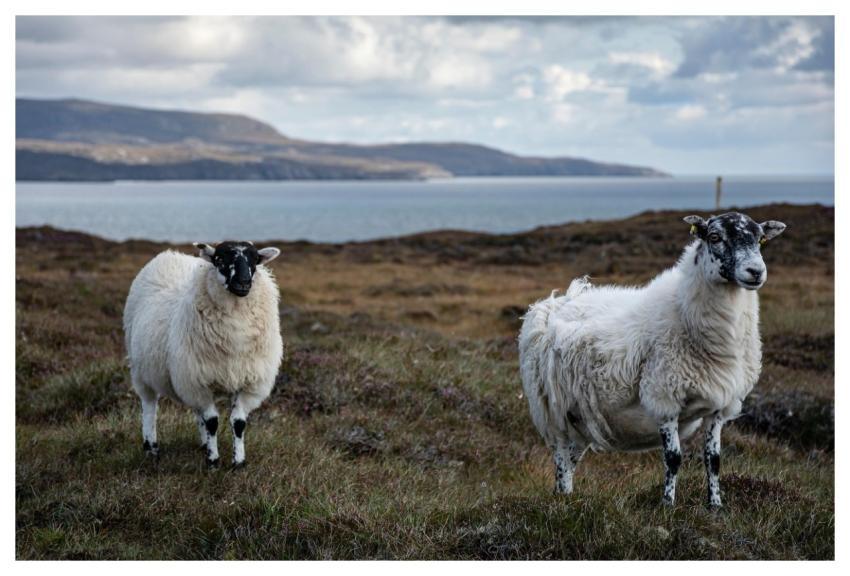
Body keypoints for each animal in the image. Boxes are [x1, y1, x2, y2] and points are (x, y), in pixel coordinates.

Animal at [123, 240, 283, 468]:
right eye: (220, 260)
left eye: (255, 261)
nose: (243, 283)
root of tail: (169, 255)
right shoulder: (199, 382)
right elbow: (212, 422)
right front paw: (213, 461)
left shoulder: (247, 382)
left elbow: (238, 423)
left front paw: (238, 462)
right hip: (142, 370)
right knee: (149, 407)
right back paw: (151, 448)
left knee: (196, 411)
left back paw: (202, 444)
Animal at [518, 212, 786, 506]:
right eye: (715, 237)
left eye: (760, 239)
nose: (756, 272)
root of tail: (555, 302)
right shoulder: (664, 397)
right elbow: (673, 458)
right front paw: (667, 505)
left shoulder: (720, 405)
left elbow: (713, 460)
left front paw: (715, 506)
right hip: (552, 409)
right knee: (560, 456)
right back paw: (562, 499)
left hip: (580, 416)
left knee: (571, 458)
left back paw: (565, 496)